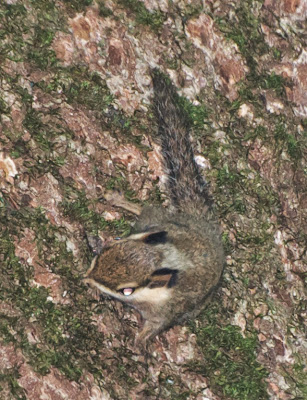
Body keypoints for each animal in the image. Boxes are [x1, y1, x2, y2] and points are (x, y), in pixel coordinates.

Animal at [83, 70, 225, 346]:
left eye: (126, 290)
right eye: (112, 246)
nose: (87, 278)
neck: (164, 257)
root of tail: (203, 225)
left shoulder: (167, 310)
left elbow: (156, 326)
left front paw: (138, 342)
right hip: (158, 219)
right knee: (148, 210)